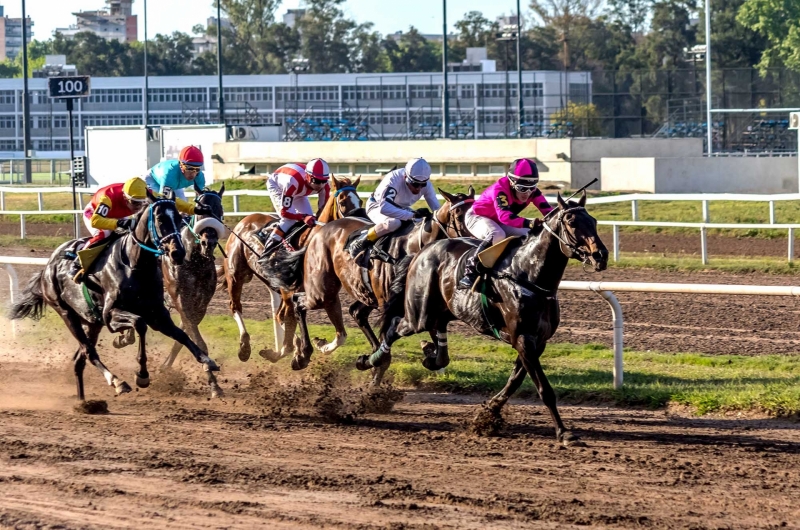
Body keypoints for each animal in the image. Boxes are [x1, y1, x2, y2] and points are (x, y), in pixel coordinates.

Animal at [10, 190, 222, 400]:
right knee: (89, 352)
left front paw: (207, 361)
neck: (136, 265)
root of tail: (47, 267)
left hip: (92, 323)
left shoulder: (160, 314)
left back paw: (83, 401)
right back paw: (117, 381)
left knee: (79, 360)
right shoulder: (111, 315)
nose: (177, 253)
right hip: (66, 313)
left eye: (178, 218)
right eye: (160, 219)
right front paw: (142, 375)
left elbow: (183, 335)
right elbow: (140, 324)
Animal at [161, 184, 227, 394]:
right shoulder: (180, 299)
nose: (209, 242)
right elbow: (196, 339)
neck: (194, 260)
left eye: (219, 211)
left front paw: (165, 366)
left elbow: (185, 336)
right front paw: (213, 381)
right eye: (200, 212)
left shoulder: (201, 303)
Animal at [223, 175, 364, 360]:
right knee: (235, 306)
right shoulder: (289, 292)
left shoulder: (318, 294)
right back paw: (244, 346)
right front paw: (292, 350)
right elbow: (288, 322)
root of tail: (245, 220)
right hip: (235, 275)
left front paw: (305, 347)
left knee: (277, 315)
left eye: (360, 201)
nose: (357, 226)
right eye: (342, 202)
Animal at [266, 186, 476, 372]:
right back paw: (302, 354)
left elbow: (441, 357)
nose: (474, 246)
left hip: (362, 293)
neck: (414, 247)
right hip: (322, 291)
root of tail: (318, 232)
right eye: (459, 216)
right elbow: (388, 349)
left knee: (355, 313)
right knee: (298, 302)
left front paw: (428, 353)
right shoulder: (388, 304)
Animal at [360, 192, 608, 444]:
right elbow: (544, 389)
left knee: (436, 335)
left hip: (443, 310)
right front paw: (564, 432)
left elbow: (515, 380)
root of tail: (421, 251)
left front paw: (489, 412)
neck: (529, 276)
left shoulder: (538, 341)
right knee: (393, 330)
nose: (601, 255)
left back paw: (429, 355)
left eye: (594, 221)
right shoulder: (523, 338)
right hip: (419, 314)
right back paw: (370, 361)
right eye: (572, 222)